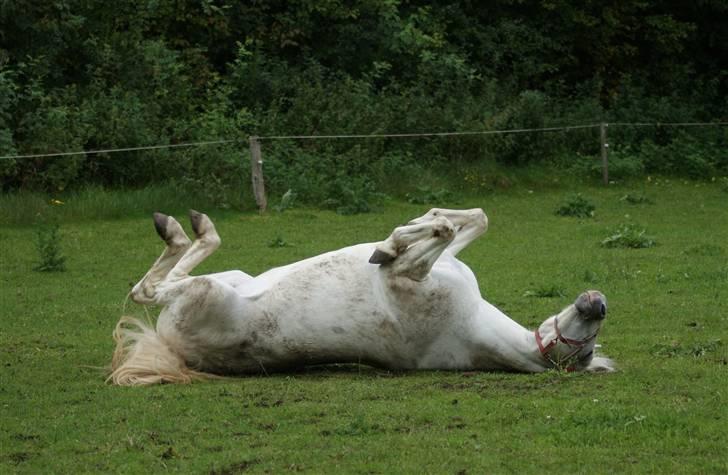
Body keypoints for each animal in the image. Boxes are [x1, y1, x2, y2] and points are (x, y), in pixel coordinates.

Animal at [109, 208, 614, 385]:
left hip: (203, 291)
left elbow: (434, 235)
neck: (470, 323)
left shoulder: (405, 277)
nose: (598, 303)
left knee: (146, 291)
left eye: (586, 352)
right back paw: (186, 226)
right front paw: (411, 225)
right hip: (233, 276)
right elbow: (469, 220)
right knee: (157, 280)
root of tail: (171, 348)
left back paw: (181, 230)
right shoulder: (444, 261)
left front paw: (388, 245)